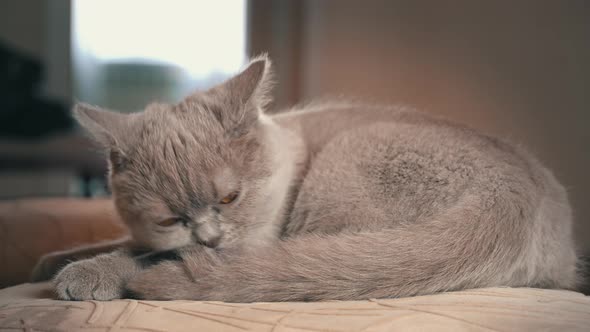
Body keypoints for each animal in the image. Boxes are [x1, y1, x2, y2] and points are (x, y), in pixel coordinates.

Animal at [31, 55, 580, 302]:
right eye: (169, 217)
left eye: (230, 197)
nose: (207, 238)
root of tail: (514, 192)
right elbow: (125, 240)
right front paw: (50, 262)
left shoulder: (257, 240)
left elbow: (144, 254)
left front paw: (85, 273)